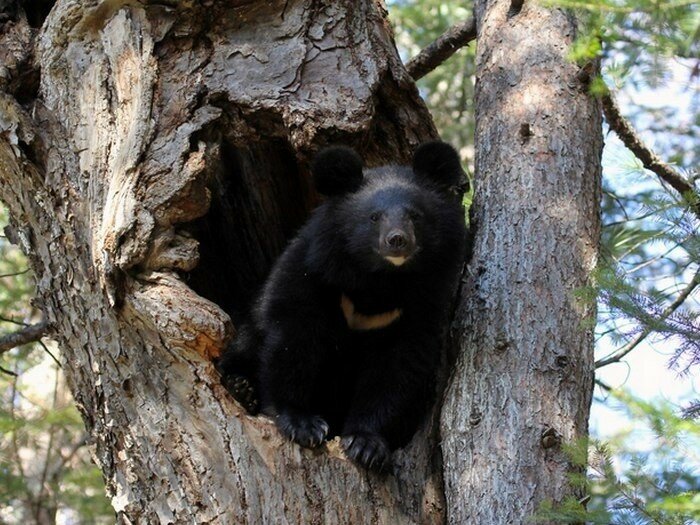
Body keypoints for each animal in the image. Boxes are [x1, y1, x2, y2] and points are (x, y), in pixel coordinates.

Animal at [217, 141, 468, 472]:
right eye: (374, 217)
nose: (397, 240)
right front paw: (303, 425)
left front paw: (366, 445)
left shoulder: (416, 309)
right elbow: (293, 340)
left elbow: (397, 368)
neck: (381, 281)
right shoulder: (313, 276)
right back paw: (240, 387)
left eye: (416, 215)